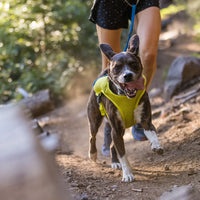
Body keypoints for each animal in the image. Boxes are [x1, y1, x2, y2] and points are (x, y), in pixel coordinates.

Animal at [87, 34, 162, 183]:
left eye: (133, 63)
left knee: (112, 145)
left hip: (119, 130)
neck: (126, 97)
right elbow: (123, 156)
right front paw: (127, 174)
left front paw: (156, 145)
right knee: (92, 136)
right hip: (95, 119)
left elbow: (152, 133)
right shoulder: (116, 129)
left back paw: (114, 162)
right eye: (117, 67)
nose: (127, 75)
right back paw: (93, 154)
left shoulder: (145, 121)